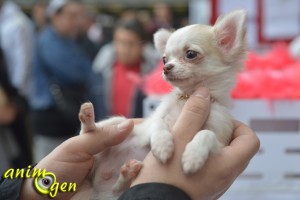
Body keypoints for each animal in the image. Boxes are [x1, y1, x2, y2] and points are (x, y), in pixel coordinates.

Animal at [71, 9, 247, 200]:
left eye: (191, 54)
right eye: (164, 59)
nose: (166, 67)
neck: (187, 97)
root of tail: (98, 185)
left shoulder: (221, 140)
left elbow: (206, 133)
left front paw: (193, 156)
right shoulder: (152, 124)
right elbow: (159, 123)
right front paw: (163, 145)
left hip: (116, 189)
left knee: (117, 190)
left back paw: (127, 173)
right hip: (118, 123)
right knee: (86, 132)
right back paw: (88, 117)